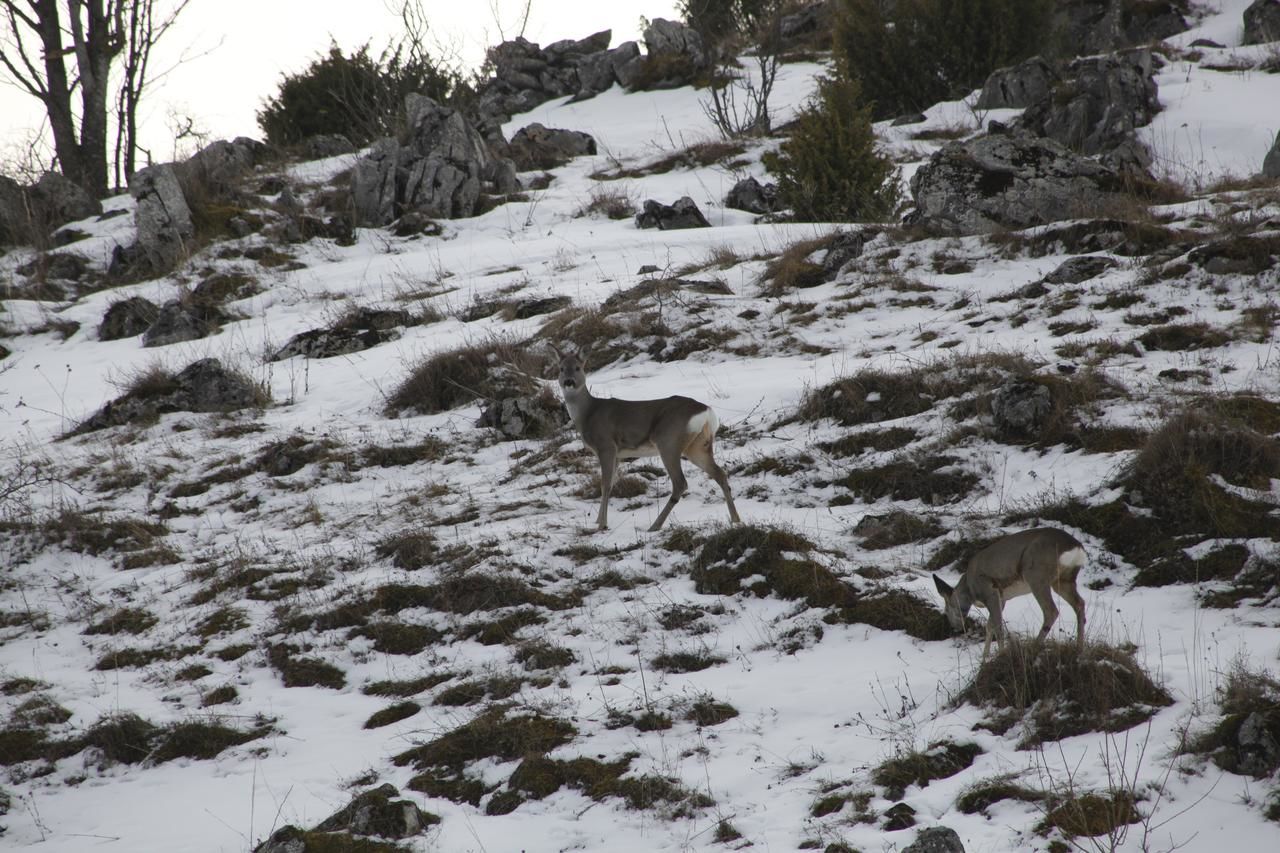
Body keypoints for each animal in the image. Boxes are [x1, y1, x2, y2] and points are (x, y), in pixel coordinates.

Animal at [555, 345, 747, 532]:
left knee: (680, 483)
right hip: (698, 445)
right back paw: (736, 519)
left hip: (668, 441)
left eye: (578, 368)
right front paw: (597, 521)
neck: (588, 414)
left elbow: (605, 484)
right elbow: (610, 483)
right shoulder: (618, 454)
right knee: (720, 473)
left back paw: (655, 525)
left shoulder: (606, 445)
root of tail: (706, 412)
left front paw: (602, 525)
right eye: (561, 368)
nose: (569, 382)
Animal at [931, 525, 1090, 655]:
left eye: (947, 610)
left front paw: (999, 655)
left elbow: (998, 627)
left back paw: (1034, 646)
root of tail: (1076, 547)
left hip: (1037, 575)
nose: (955, 628)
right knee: (1079, 603)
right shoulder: (1002, 598)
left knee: (1051, 610)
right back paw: (1079, 648)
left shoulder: (990, 591)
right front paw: (984, 658)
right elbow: (989, 626)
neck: (970, 590)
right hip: (1063, 580)